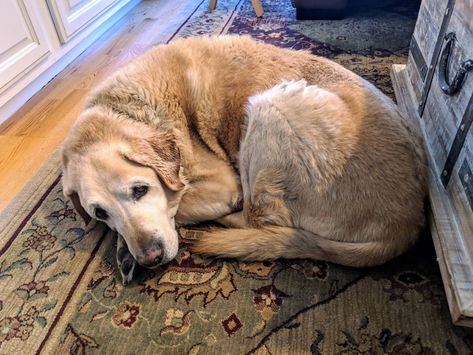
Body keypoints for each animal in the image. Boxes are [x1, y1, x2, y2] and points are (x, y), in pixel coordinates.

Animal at [60, 35, 426, 284]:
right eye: (100, 212)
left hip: (270, 108)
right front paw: (123, 248)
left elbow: (178, 206)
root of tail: (407, 224)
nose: (151, 258)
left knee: (258, 219)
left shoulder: (221, 185)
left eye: (140, 189)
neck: (127, 110)